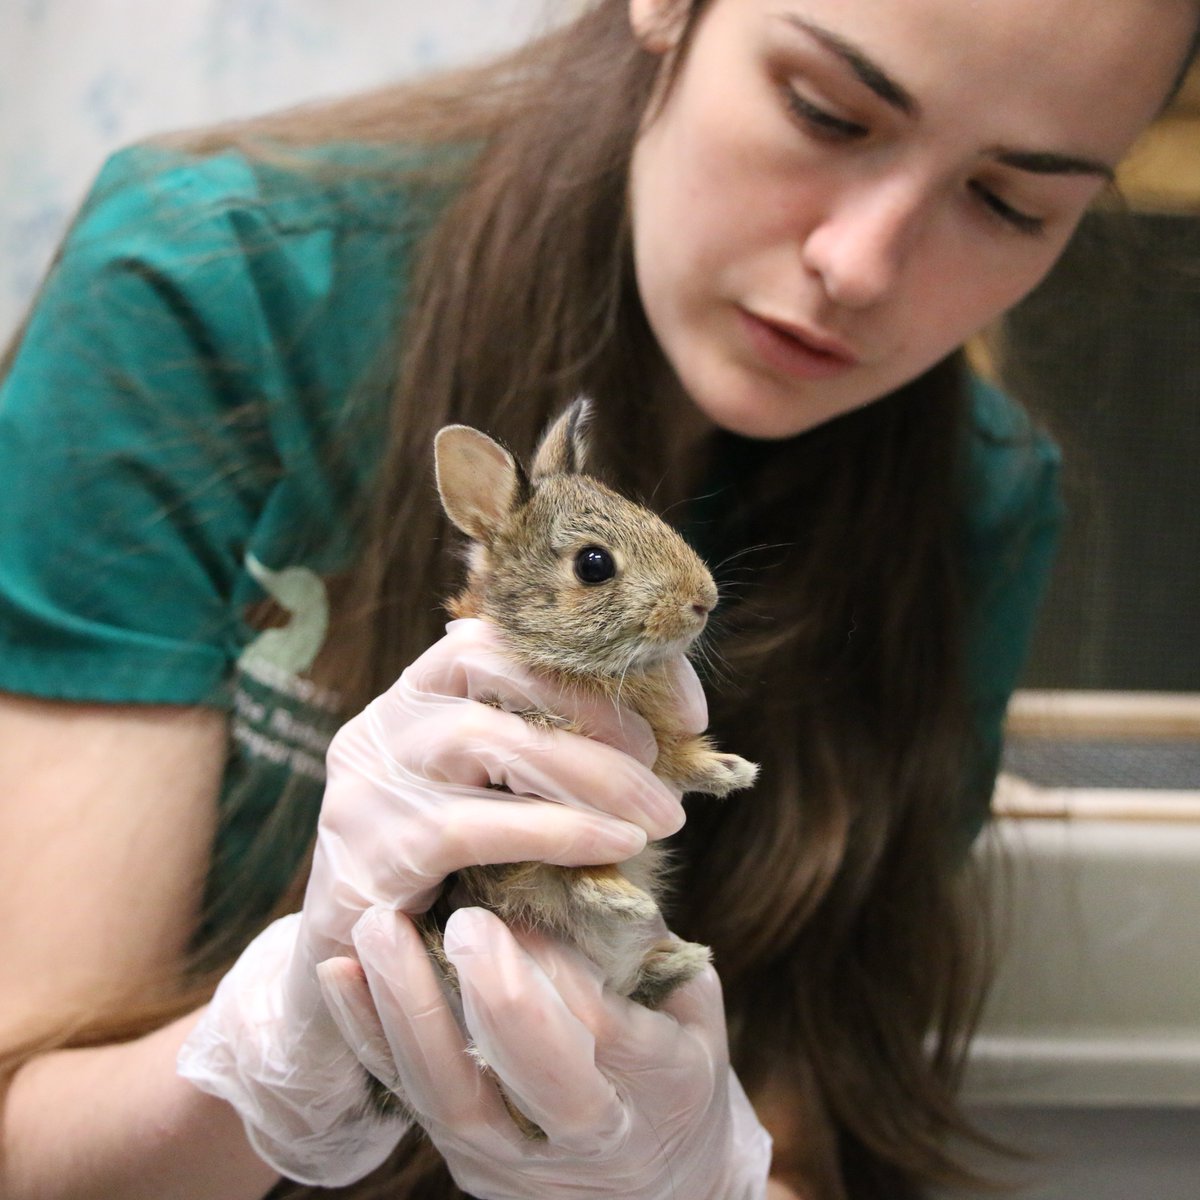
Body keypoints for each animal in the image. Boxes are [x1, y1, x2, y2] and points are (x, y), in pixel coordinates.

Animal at [412, 398, 753, 1137]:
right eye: (594, 564)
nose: (704, 600)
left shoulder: (650, 753)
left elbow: (677, 759)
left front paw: (730, 771)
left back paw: (678, 960)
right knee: (563, 878)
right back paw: (627, 904)